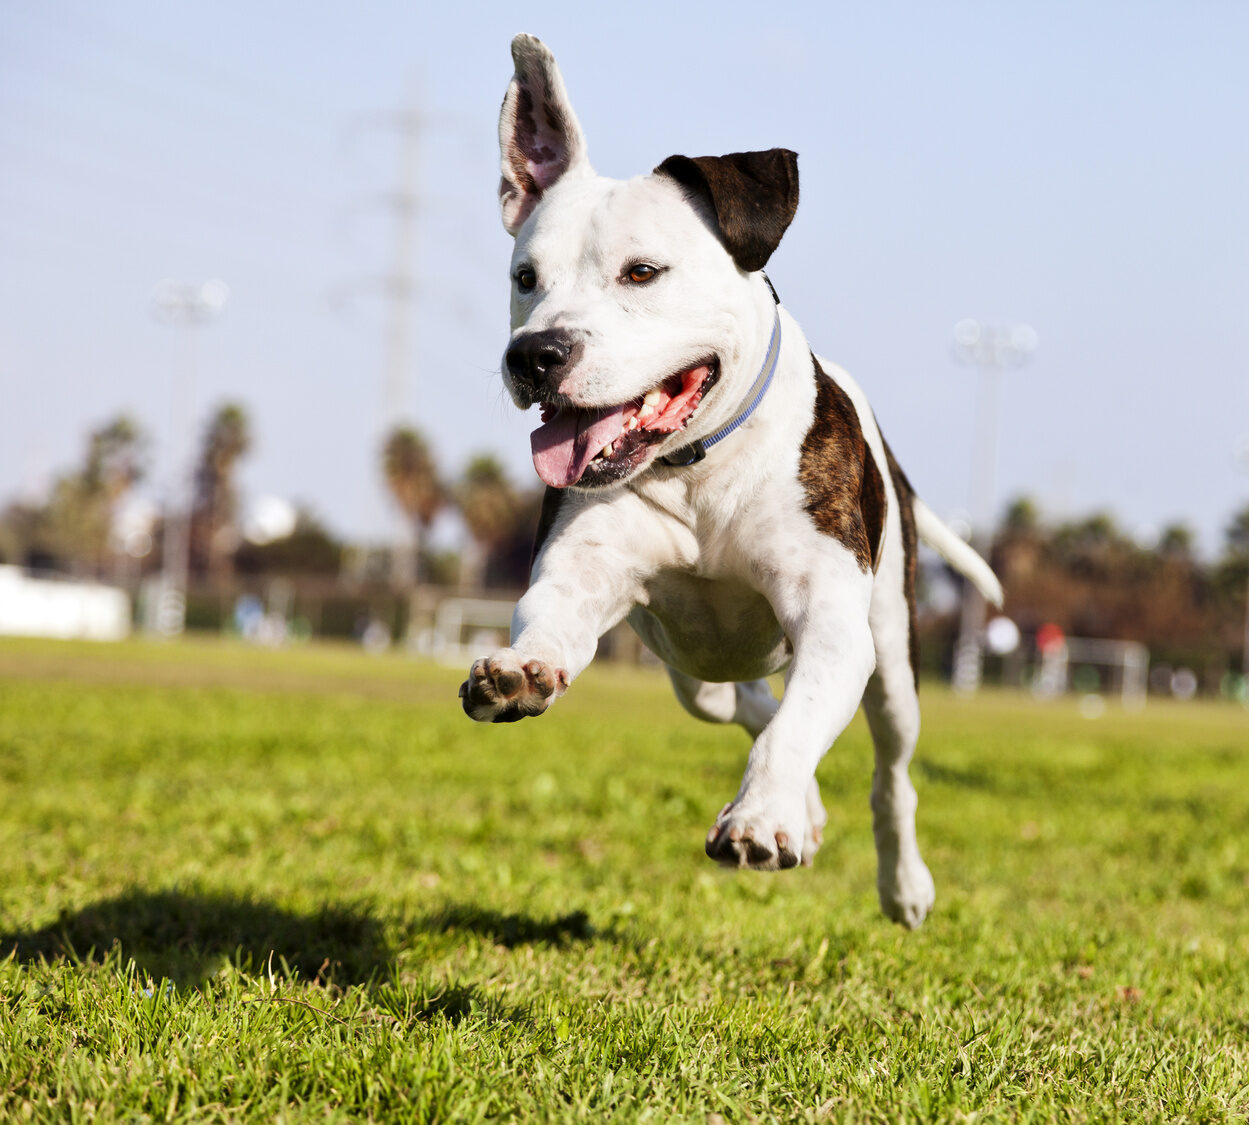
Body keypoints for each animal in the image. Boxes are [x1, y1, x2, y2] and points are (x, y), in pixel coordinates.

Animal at [462, 37, 1004, 928]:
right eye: (524, 277)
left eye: (641, 271)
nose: (534, 354)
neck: (698, 466)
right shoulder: (581, 573)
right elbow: (550, 619)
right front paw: (519, 671)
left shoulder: (831, 621)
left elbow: (800, 723)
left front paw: (762, 818)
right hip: (692, 670)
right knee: (741, 703)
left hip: (892, 656)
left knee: (887, 769)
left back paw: (900, 881)